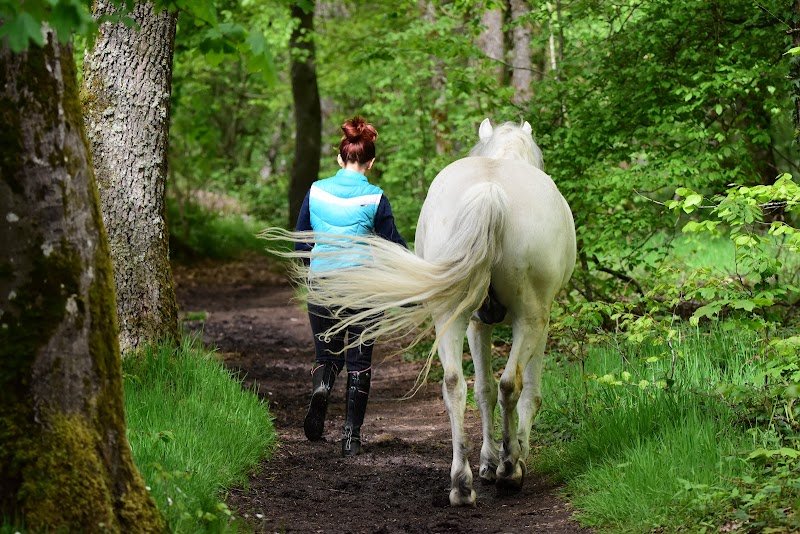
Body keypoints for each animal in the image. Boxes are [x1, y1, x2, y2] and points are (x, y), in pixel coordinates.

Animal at [261, 118, 576, 506]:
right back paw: (509, 469)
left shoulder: (476, 324)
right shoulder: (538, 322)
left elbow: (482, 389)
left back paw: (462, 483)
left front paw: (486, 463)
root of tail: (490, 190)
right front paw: (510, 459)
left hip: (451, 314)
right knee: (510, 384)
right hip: (529, 316)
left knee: (455, 384)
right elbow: (527, 391)